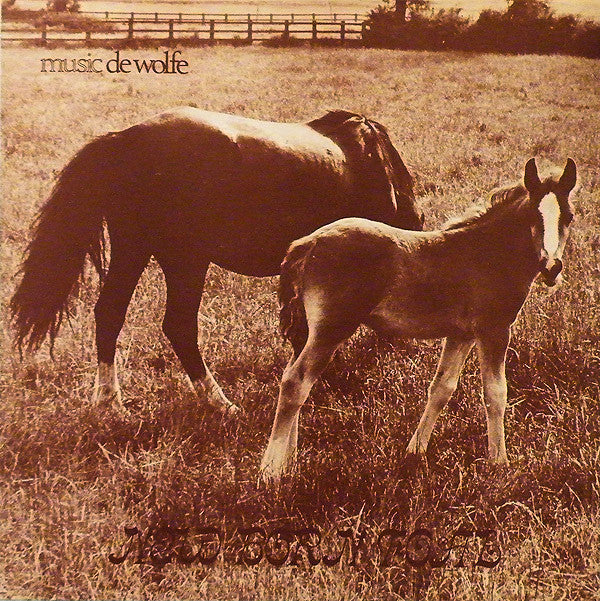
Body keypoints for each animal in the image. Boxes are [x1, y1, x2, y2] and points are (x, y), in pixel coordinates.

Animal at [10, 108, 423, 415]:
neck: (374, 162)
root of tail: (127, 139)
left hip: (133, 251)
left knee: (109, 313)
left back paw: (109, 401)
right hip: (186, 262)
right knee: (178, 326)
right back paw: (219, 402)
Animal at [260, 158, 577, 483]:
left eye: (569, 216)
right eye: (534, 216)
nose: (552, 268)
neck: (489, 253)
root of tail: (307, 243)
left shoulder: (461, 334)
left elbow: (441, 388)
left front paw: (415, 451)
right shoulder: (495, 330)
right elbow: (496, 393)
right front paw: (499, 462)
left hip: (309, 332)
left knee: (293, 378)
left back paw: (289, 461)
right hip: (331, 330)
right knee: (296, 383)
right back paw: (271, 471)